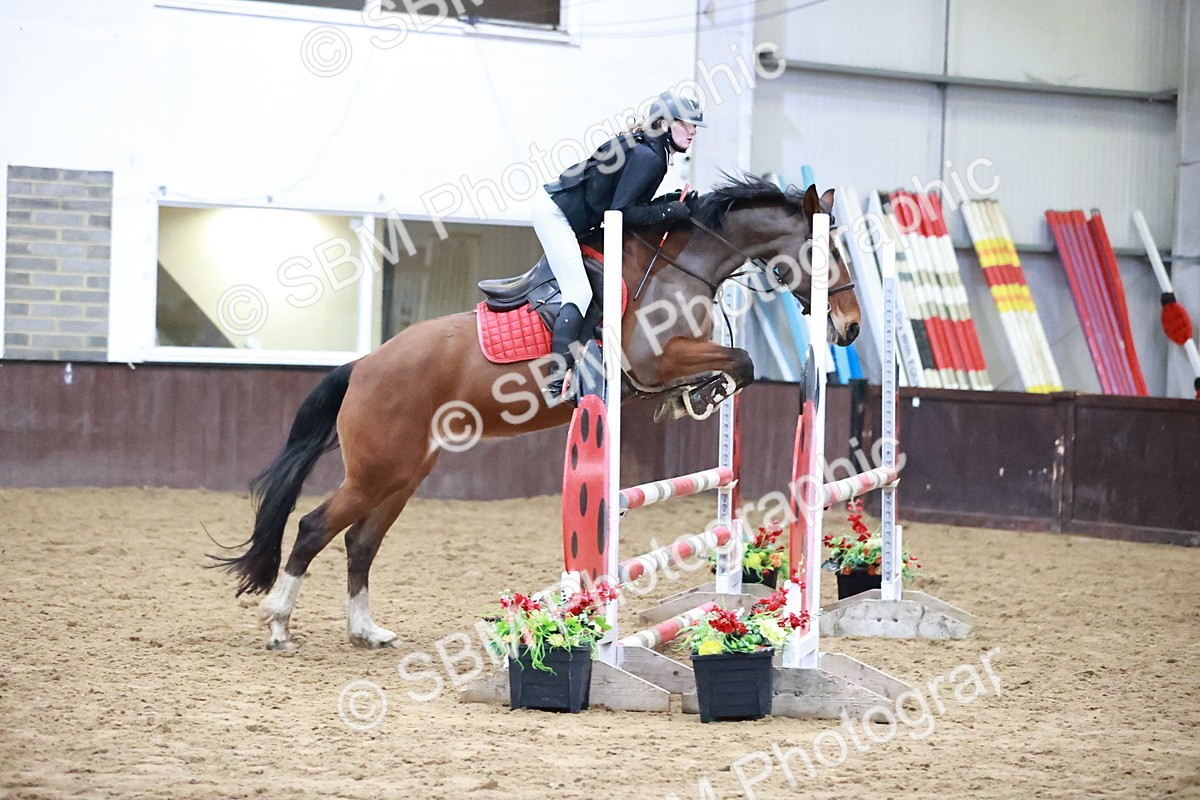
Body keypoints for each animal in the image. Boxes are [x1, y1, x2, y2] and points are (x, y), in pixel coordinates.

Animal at [213, 175, 861, 650]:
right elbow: (742, 360)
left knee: (360, 542)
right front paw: (699, 396)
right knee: (313, 527)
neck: (685, 266)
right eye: (826, 250)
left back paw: (366, 631)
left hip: (404, 472)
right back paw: (278, 624)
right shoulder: (654, 361)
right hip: (378, 470)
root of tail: (364, 365)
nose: (851, 328)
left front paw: (693, 398)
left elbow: (736, 363)